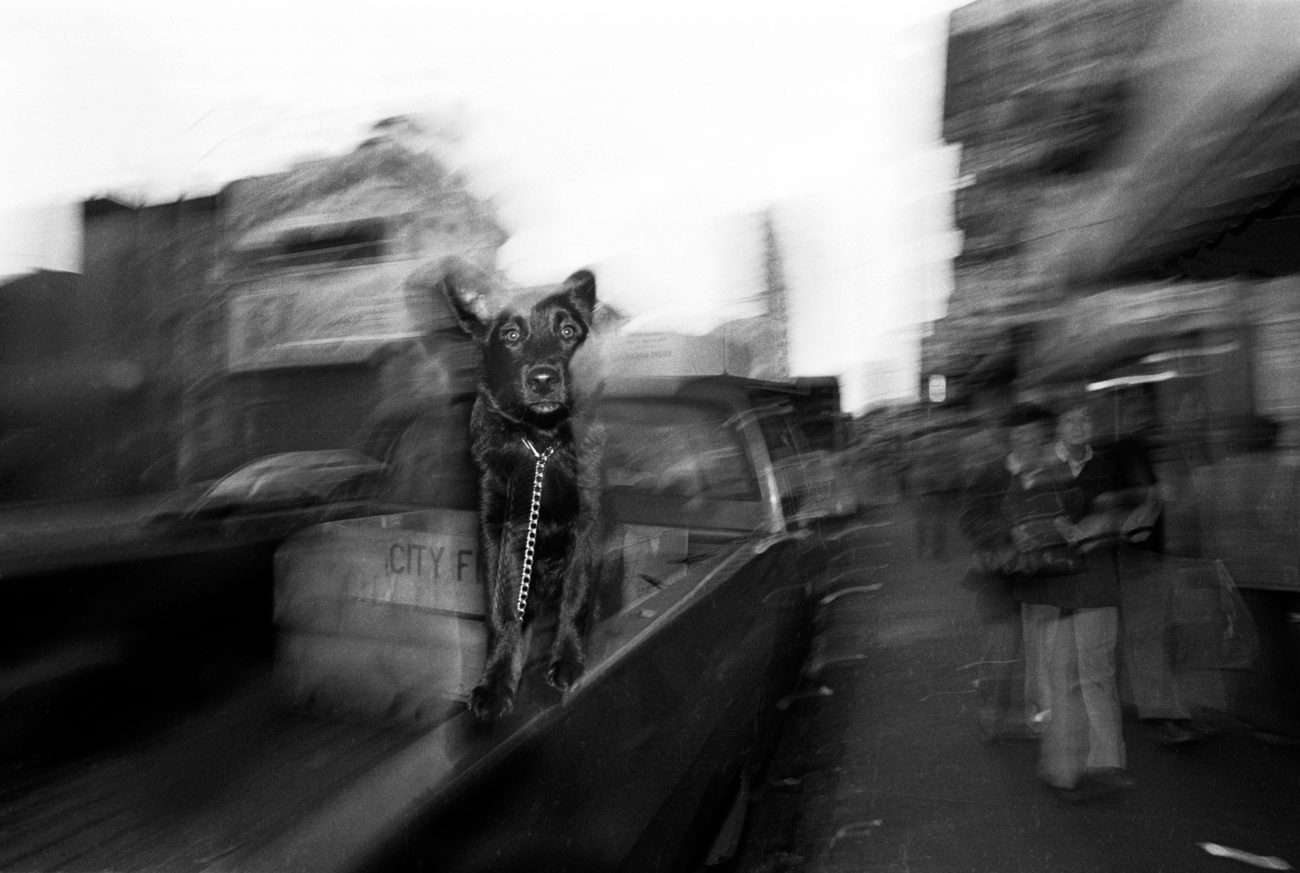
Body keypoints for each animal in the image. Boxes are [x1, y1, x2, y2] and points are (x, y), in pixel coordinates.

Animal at [434, 255, 600, 717]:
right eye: (510, 334)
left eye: (568, 331)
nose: (544, 379)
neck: (541, 444)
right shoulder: (500, 530)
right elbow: (503, 609)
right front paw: (496, 679)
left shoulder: (585, 524)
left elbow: (575, 597)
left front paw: (568, 659)